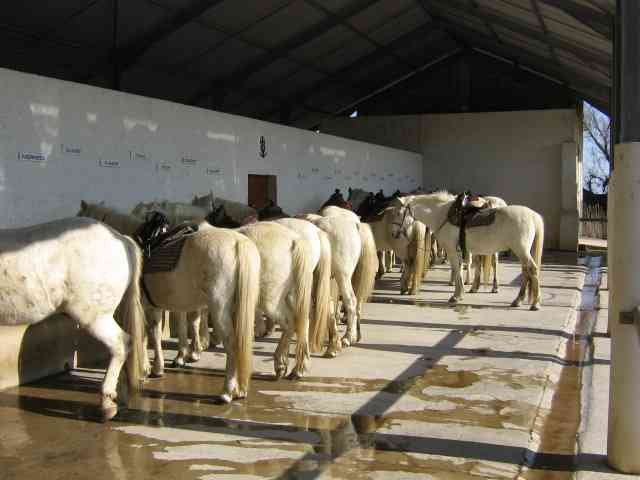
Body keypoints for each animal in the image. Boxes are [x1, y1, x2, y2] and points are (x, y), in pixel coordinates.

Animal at [78, 202, 260, 403]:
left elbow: (146, 335)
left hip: (219, 308)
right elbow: (156, 333)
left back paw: (227, 392)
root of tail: (238, 243)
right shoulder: (158, 307)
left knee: (231, 344)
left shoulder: (145, 307)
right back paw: (239, 389)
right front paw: (158, 367)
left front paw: (146, 369)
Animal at [391, 191, 544, 310]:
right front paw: (460, 293)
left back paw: (535, 304)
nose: (394, 234)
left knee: (532, 270)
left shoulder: (452, 250)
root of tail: (533, 215)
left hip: (521, 251)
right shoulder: (457, 251)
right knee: (526, 272)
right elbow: (459, 269)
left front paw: (456, 296)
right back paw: (518, 300)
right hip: (521, 252)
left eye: (398, 213)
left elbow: (456, 269)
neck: (442, 215)